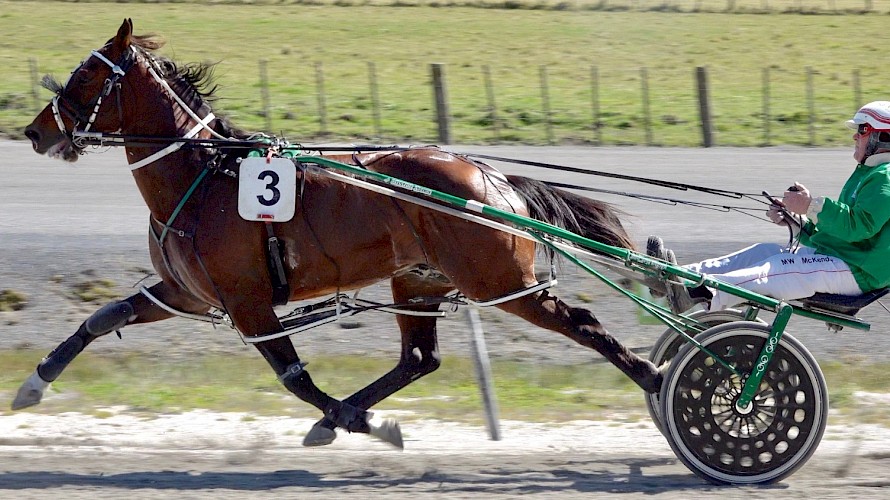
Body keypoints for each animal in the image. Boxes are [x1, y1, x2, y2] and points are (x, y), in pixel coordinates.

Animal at [19, 19, 660, 448]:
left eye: (85, 75)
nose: (33, 132)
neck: (202, 179)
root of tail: (491, 176)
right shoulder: (188, 293)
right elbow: (102, 319)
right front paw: (34, 384)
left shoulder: (248, 301)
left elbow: (293, 377)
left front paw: (361, 422)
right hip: (419, 280)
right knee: (419, 359)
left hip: (498, 282)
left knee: (583, 323)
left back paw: (654, 377)